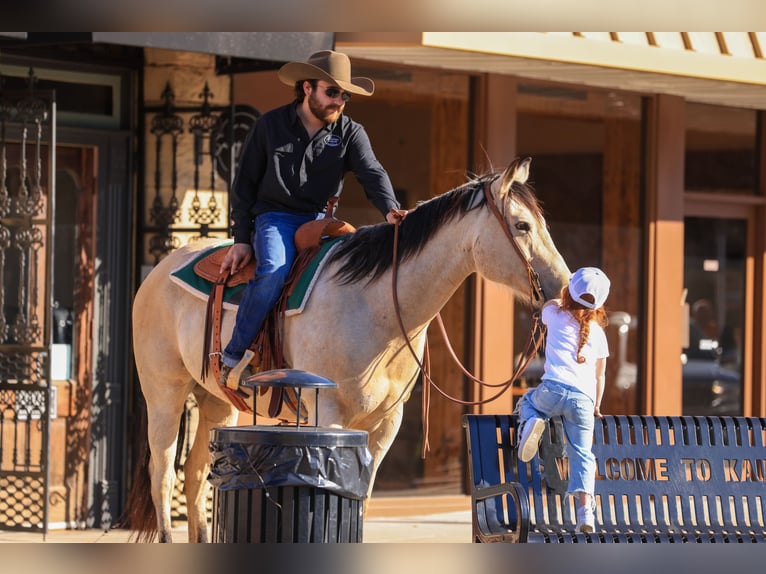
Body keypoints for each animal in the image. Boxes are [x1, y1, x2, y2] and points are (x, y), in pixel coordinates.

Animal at [126, 159, 568, 544]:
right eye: (522, 224)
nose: (564, 286)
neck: (375, 304)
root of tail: (162, 267)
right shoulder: (329, 414)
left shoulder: (385, 424)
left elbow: (363, 498)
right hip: (165, 392)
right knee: (163, 471)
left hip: (217, 401)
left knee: (196, 473)